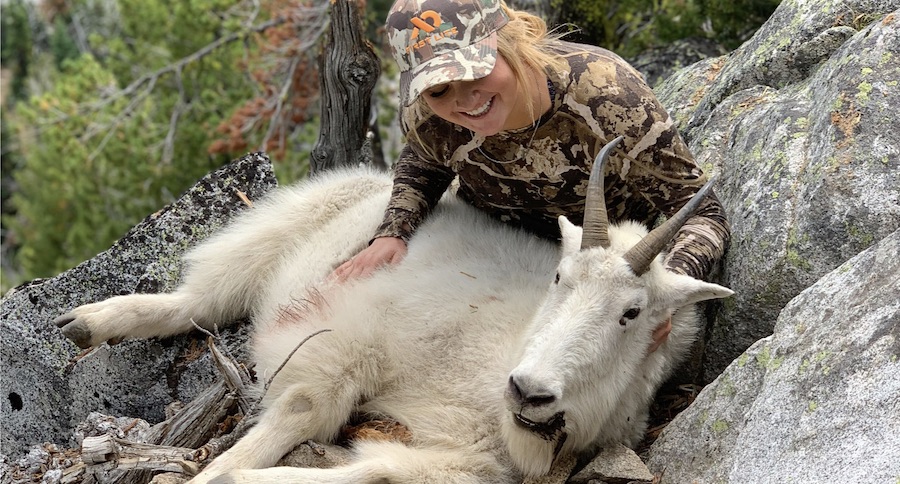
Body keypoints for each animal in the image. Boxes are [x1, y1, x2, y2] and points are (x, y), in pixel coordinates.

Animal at [54, 138, 732, 482]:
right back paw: (88, 322)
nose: (529, 390)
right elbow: (302, 409)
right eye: (559, 278)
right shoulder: (352, 339)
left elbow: (369, 472)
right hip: (286, 227)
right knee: (197, 298)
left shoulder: (461, 462)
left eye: (632, 314)